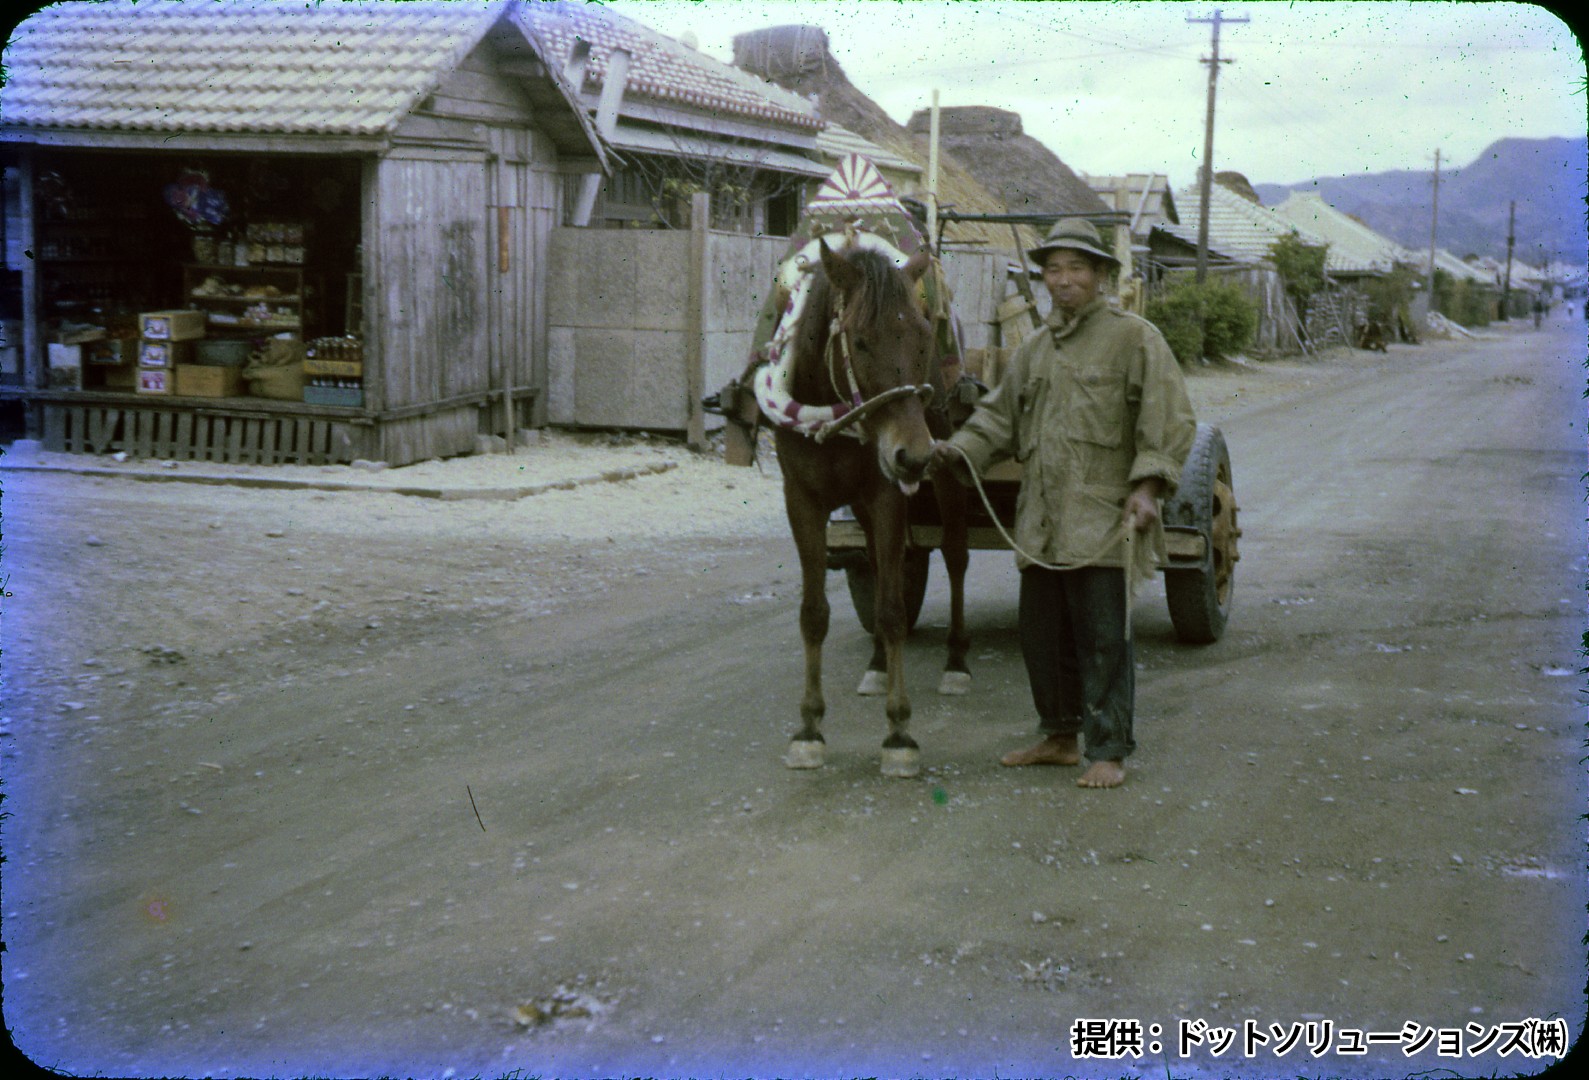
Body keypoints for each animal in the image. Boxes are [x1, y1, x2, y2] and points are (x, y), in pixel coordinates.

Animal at [765, 236, 972, 775]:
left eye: (922, 339)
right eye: (859, 341)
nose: (913, 455)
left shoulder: (886, 494)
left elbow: (894, 609)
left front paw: (899, 732)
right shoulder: (802, 499)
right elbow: (815, 612)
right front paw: (809, 727)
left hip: (947, 472)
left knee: (956, 557)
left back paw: (957, 662)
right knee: (878, 566)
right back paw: (879, 665)